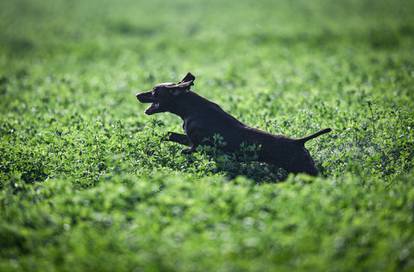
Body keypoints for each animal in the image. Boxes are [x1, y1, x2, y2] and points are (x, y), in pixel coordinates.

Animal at [137, 72, 332, 175]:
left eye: (154, 92)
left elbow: (187, 150)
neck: (191, 109)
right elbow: (168, 135)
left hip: (304, 169)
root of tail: (299, 142)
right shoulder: (189, 139)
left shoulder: (197, 145)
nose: (137, 94)